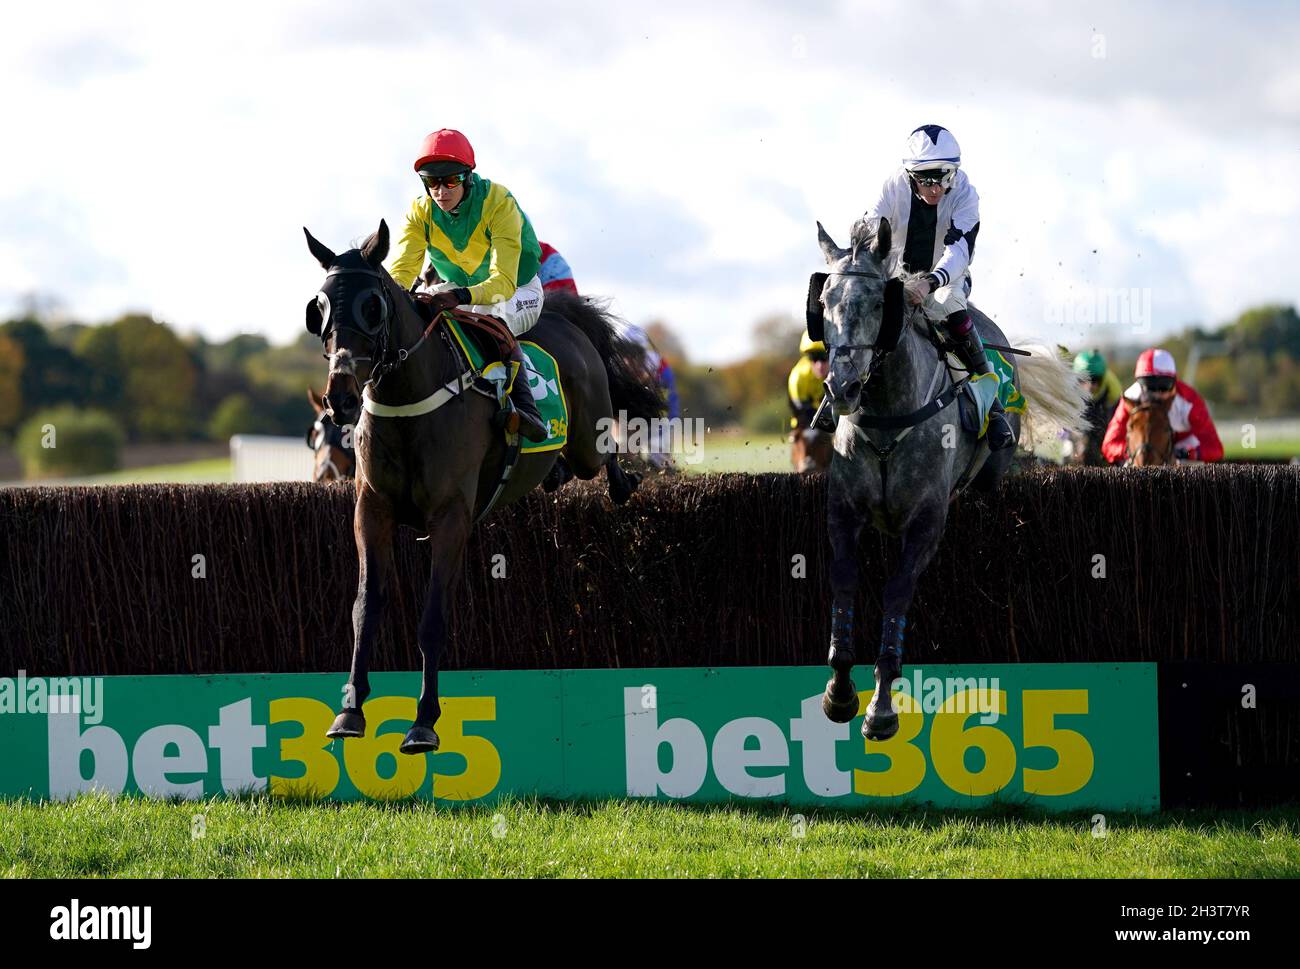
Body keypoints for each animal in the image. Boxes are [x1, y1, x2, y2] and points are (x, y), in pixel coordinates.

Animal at [304, 221, 660, 754]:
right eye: (320, 307)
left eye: (373, 305)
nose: (341, 397)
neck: (408, 399)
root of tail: (568, 322)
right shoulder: (372, 510)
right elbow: (364, 608)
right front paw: (349, 712)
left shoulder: (451, 515)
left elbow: (433, 619)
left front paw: (424, 722)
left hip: (585, 439)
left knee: (602, 451)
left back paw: (622, 481)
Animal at [811, 215, 1086, 738]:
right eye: (824, 303)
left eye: (878, 304)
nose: (842, 388)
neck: (888, 417)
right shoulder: (842, 513)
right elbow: (843, 582)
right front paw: (839, 691)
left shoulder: (925, 522)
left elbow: (897, 593)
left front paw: (881, 708)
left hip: (990, 470)